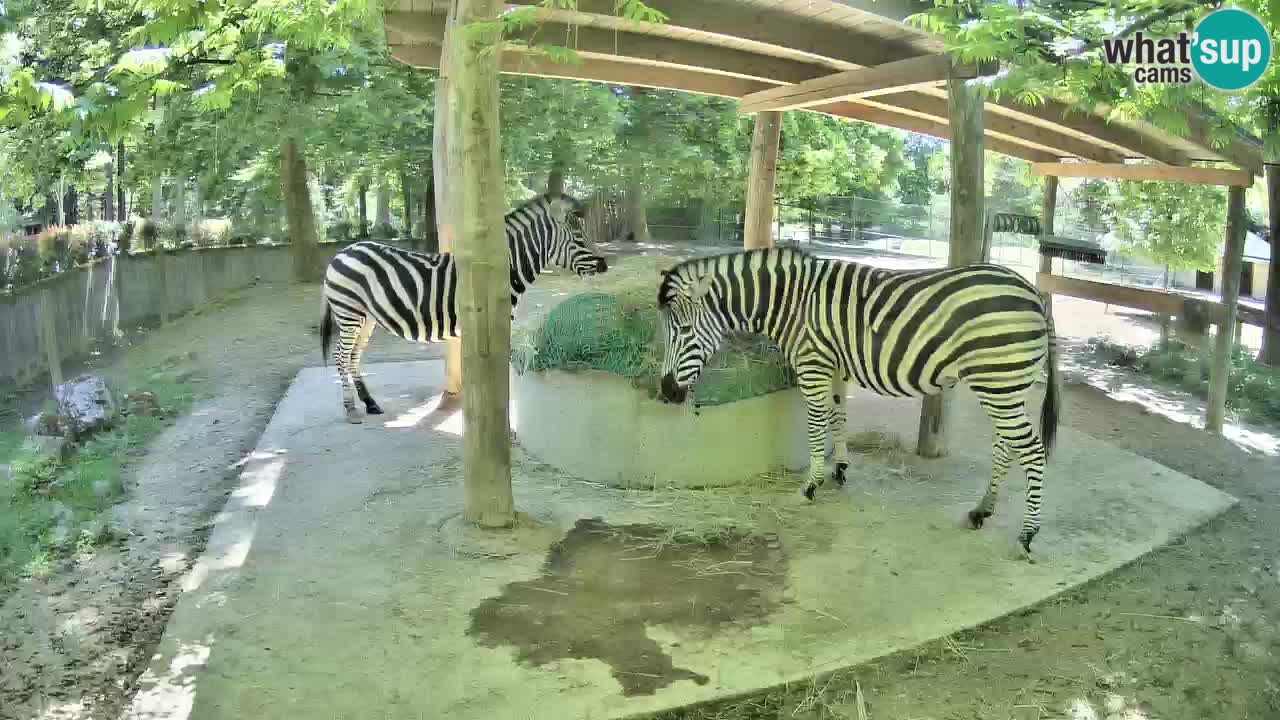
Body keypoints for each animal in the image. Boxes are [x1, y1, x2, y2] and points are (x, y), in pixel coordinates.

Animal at [321, 192, 609, 423]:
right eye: (578, 237)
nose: (605, 265)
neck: (500, 270)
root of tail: (343, 252)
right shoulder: (495, 322)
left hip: (366, 317)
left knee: (354, 356)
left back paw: (370, 403)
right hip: (348, 312)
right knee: (341, 356)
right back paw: (351, 409)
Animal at [656, 247, 1059, 554]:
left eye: (684, 331)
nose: (667, 392)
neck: (792, 303)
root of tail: (1034, 293)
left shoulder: (813, 364)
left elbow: (816, 423)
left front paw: (811, 485)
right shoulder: (834, 366)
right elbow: (838, 416)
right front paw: (839, 469)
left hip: (999, 382)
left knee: (1032, 451)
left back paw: (1027, 534)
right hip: (1007, 385)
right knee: (1006, 446)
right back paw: (981, 510)